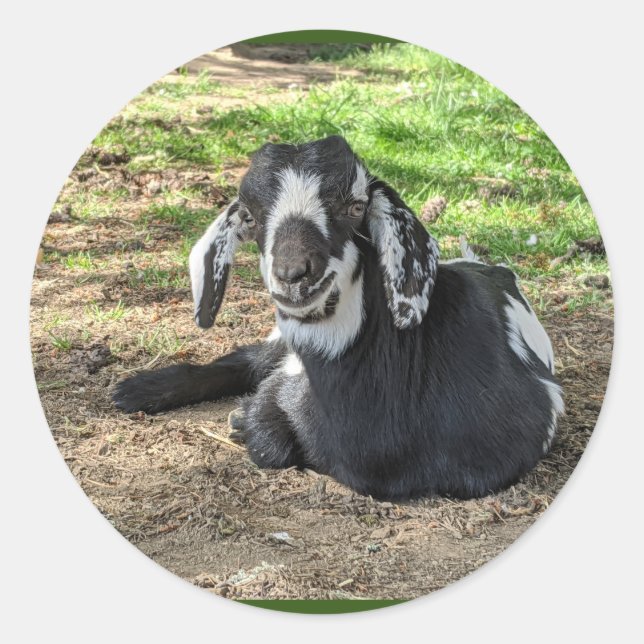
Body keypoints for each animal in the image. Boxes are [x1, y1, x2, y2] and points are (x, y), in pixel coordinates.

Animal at [113, 135, 564, 501]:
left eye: (356, 205)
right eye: (250, 216)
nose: (293, 273)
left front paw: (244, 420)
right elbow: (269, 431)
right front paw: (243, 419)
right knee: (245, 360)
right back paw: (134, 390)